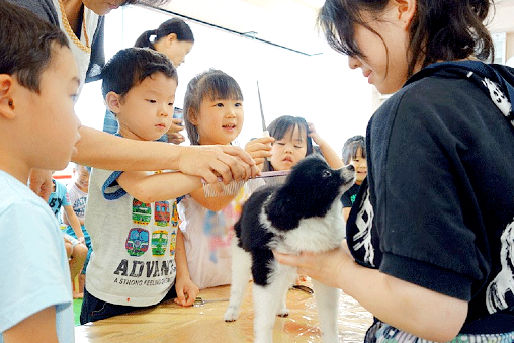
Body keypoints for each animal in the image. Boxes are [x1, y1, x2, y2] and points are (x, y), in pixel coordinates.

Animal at [222, 157, 354, 343]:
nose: (351, 166)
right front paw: (263, 339)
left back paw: (280, 308)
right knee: (237, 287)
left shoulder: (323, 272)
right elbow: (264, 321)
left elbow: (329, 319)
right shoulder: (266, 271)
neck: (311, 217)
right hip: (242, 256)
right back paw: (232, 312)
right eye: (326, 173)